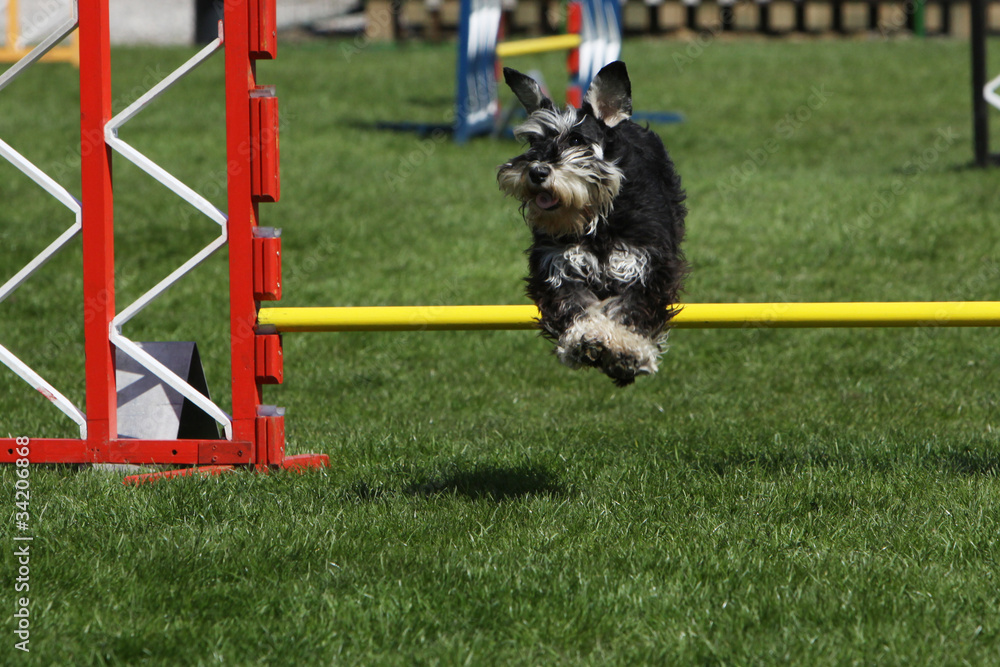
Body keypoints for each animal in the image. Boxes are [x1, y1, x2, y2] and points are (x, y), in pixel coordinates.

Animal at [497, 61, 687, 387]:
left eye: (576, 140)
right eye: (534, 140)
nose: (536, 172)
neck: (598, 221)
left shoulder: (648, 265)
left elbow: (632, 308)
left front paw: (626, 350)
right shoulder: (557, 267)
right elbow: (576, 306)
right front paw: (586, 339)